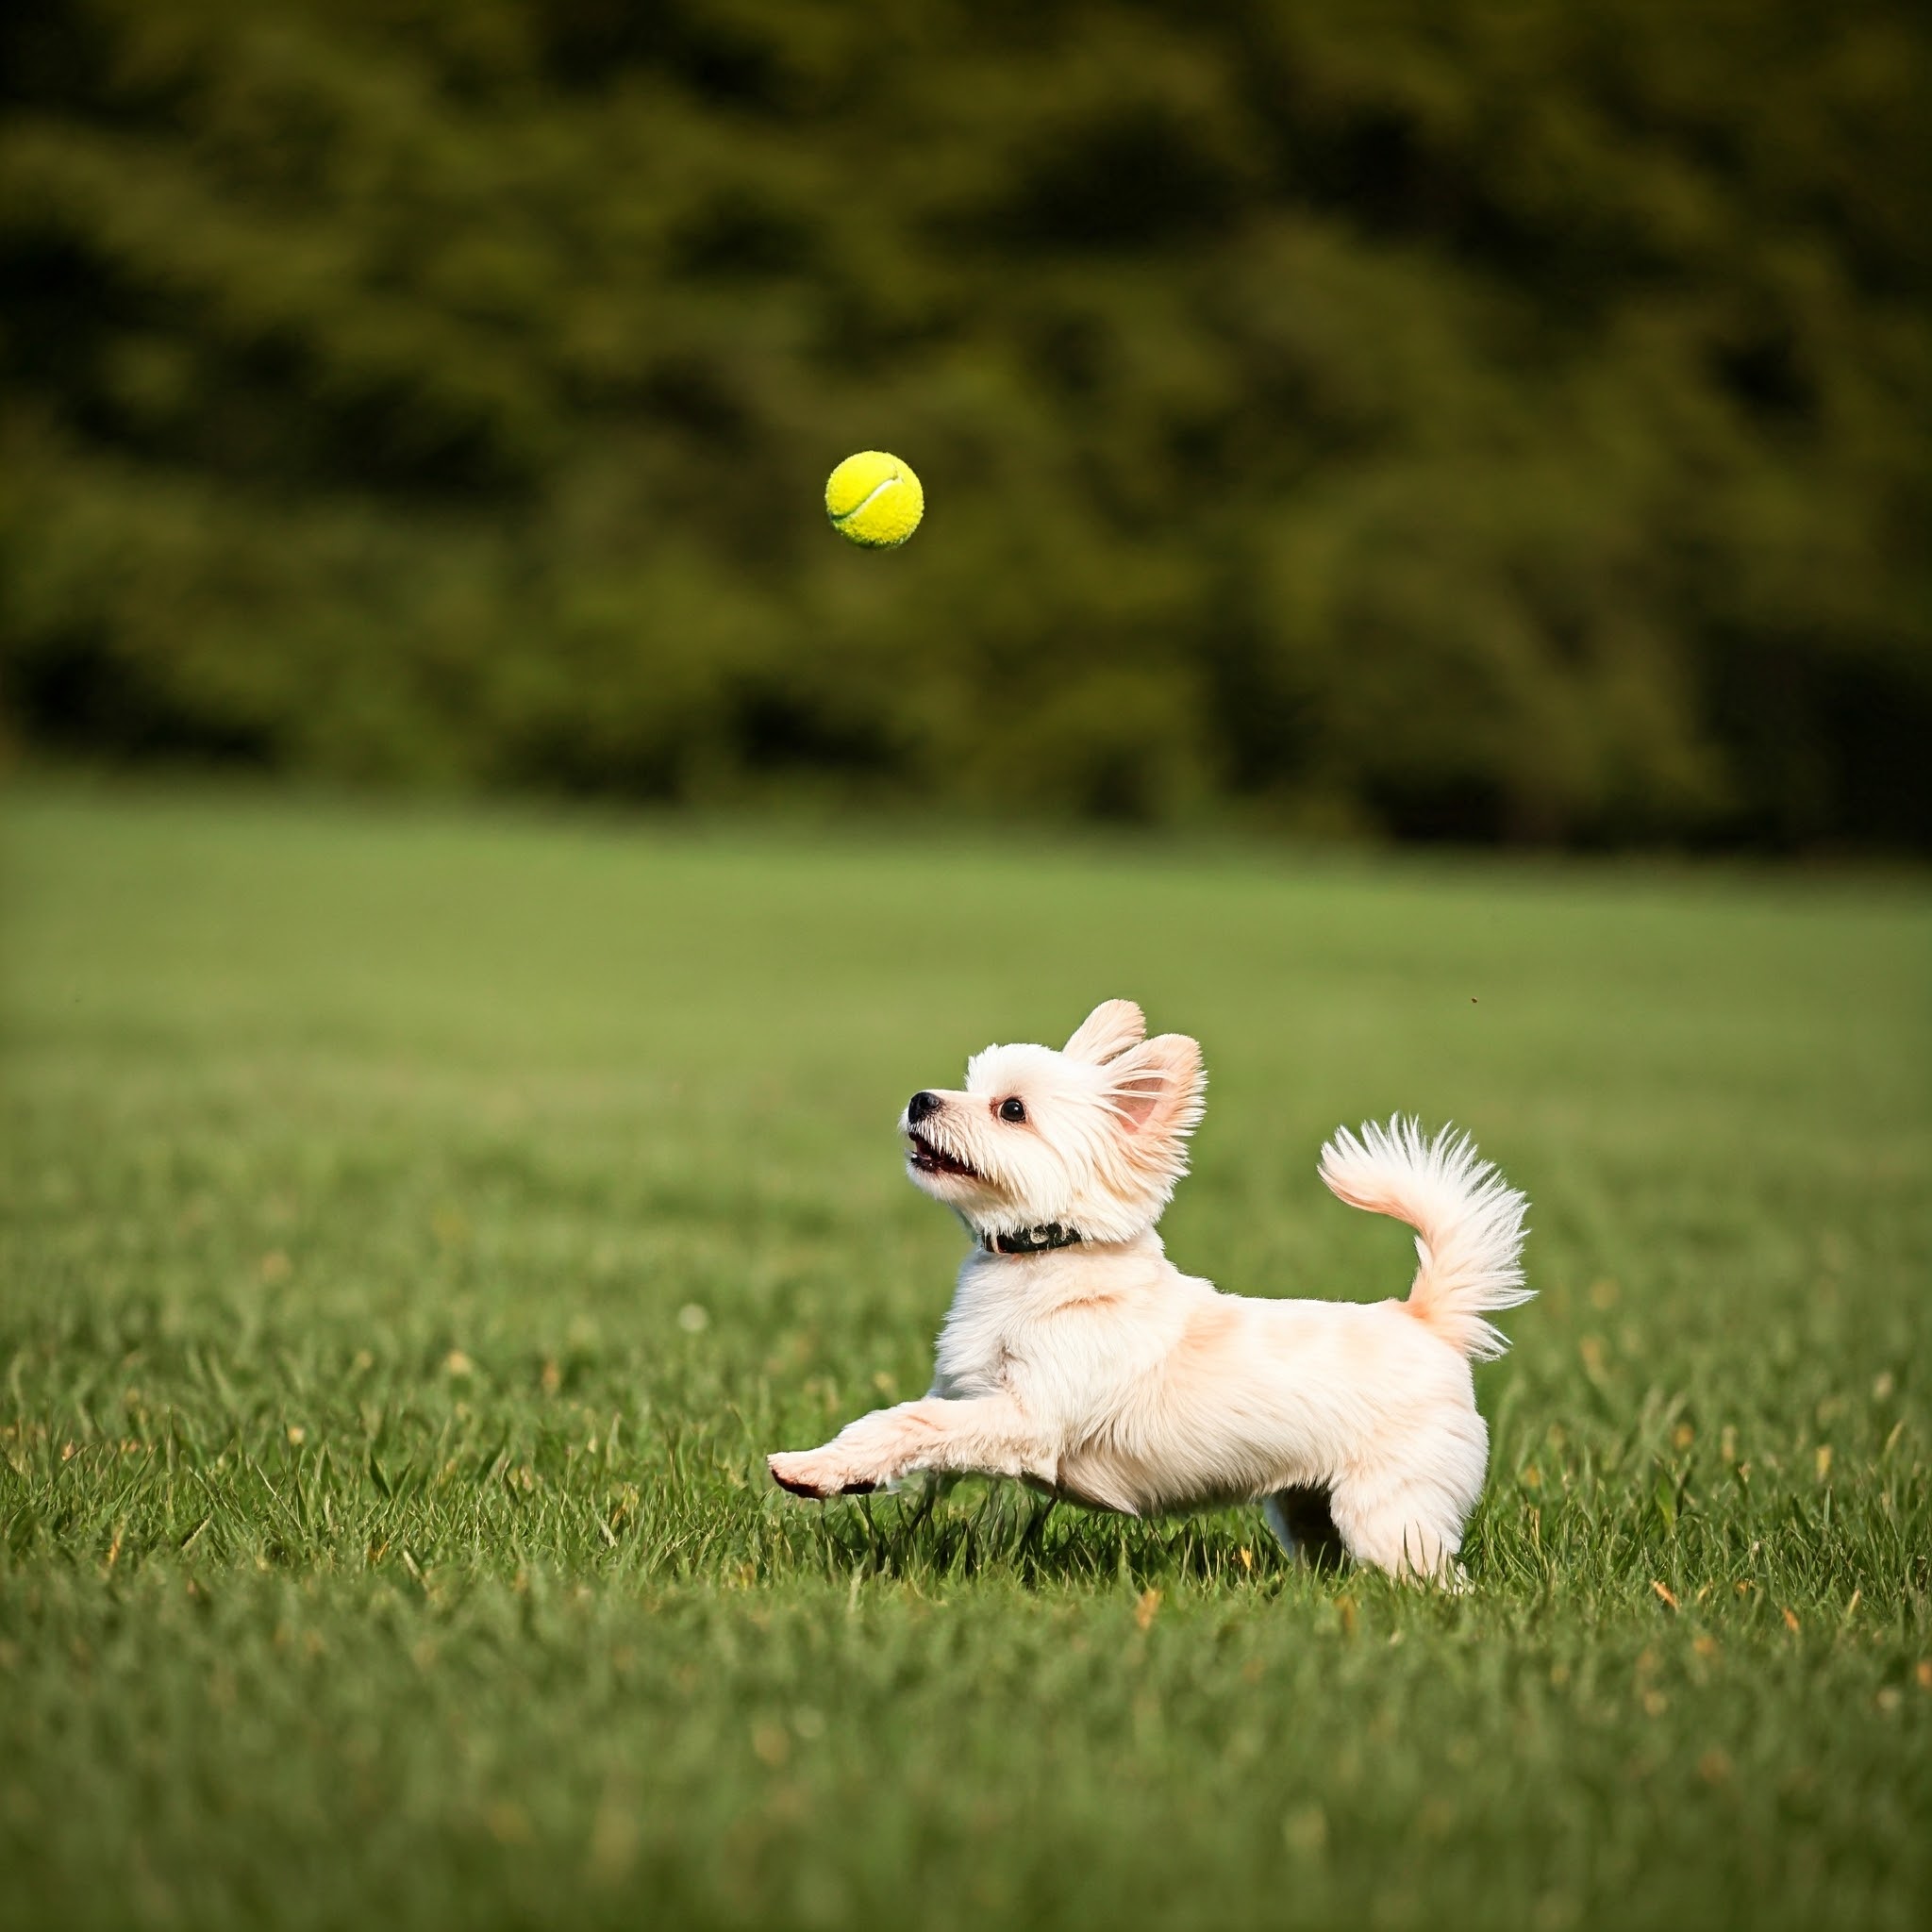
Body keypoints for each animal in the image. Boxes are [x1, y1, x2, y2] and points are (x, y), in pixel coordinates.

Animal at [760, 1004, 1530, 1576]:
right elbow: (893, 1432)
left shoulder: (1026, 1419)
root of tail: (1425, 1318)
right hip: (1307, 1510)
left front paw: (812, 1467)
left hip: (1390, 1514)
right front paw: (831, 1473)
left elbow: (907, 1424)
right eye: (967, 1084)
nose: (921, 1099)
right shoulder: (964, 1392)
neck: (1044, 1262)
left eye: (1011, 1110)